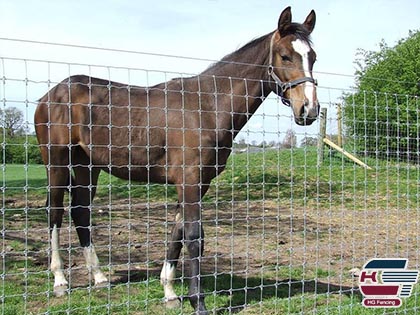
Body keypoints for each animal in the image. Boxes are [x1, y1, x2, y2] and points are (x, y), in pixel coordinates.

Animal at [35, 6, 318, 314]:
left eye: (313, 57)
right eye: (285, 55)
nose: (309, 110)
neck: (207, 106)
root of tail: (49, 95)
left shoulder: (197, 184)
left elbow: (177, 235)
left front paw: (170, 292)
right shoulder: (190, 181)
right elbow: (194, 237)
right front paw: (199, 302)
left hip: (88, 167)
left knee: (80, 211)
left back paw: (99, 277)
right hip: (56, 163)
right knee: (55, 211)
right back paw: (60, 280)